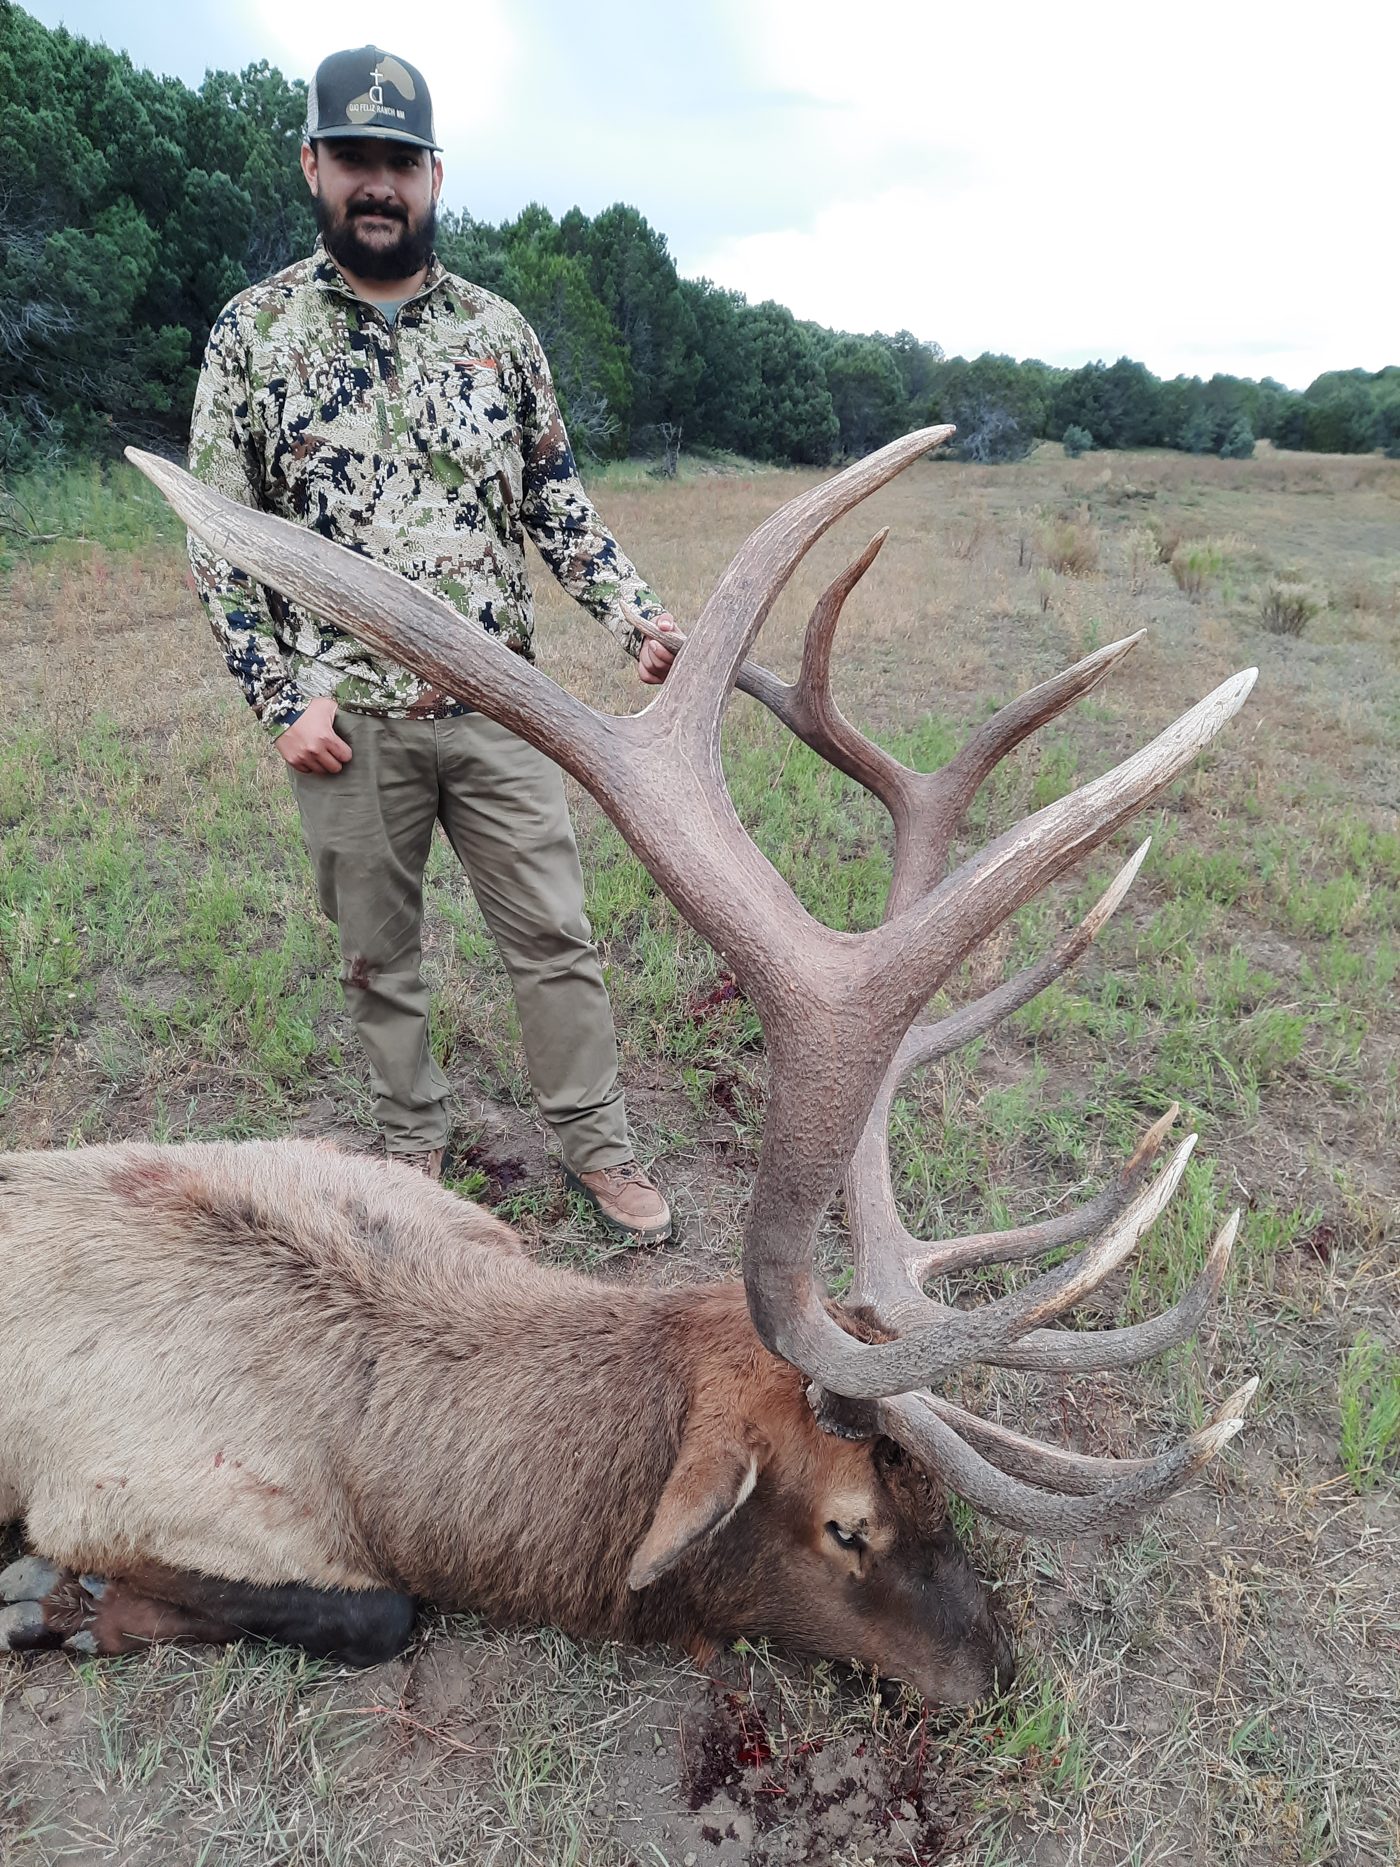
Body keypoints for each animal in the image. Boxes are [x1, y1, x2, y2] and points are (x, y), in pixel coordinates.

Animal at [0, 427, 1258, 1706]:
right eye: (846, 1525)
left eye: (931, 1491)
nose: (995, 1664)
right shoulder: (127, 1488)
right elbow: (373, 1610)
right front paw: (56, 1602)